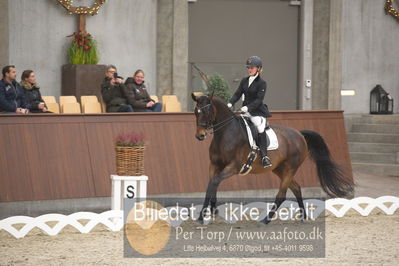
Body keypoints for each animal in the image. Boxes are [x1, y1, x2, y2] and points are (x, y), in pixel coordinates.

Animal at [192, 92, 354, 223]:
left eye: (206, 111)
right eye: (195, 112)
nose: (200, 136)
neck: (226, 134)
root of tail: (299, 135)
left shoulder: (233, 167)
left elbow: (214, 182)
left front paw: (205, 214)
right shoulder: (214, 165)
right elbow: (212, 184)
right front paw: (209, 211)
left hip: (290, 168)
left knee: (282, 194)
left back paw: (266, 220)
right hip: (279, 169)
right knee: (296, 188)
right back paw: (302, 217)